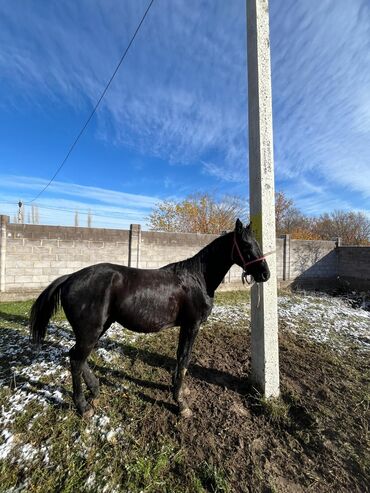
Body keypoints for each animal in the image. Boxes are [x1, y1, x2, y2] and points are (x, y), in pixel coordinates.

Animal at [29, 219, 268, 416]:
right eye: (246, 245)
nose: (265, 274)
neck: (197, 278)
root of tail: (70, 278)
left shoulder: (186, 327)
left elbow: (180, 358)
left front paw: (179, 390)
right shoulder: (191, 326)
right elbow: (184, 359)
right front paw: (181, 404)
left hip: (98, 329)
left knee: (77, 356)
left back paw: (95, 390)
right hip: (91, 331)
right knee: (76, 359)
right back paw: (83, 406)